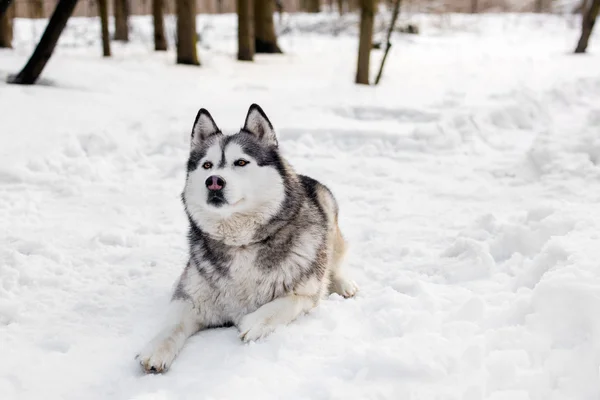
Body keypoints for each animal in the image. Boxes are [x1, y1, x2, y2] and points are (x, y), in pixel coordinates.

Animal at [137, 104, 356, 374]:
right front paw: (155, 349)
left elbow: (286, 303)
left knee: (335, 263)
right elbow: (172, 326)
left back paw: (344, 285)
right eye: (207, 165)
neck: (240, 243)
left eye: (240, 162)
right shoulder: (190, 298)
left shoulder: (307, 294)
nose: (214, 181)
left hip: (328, 213)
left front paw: (255, 321)